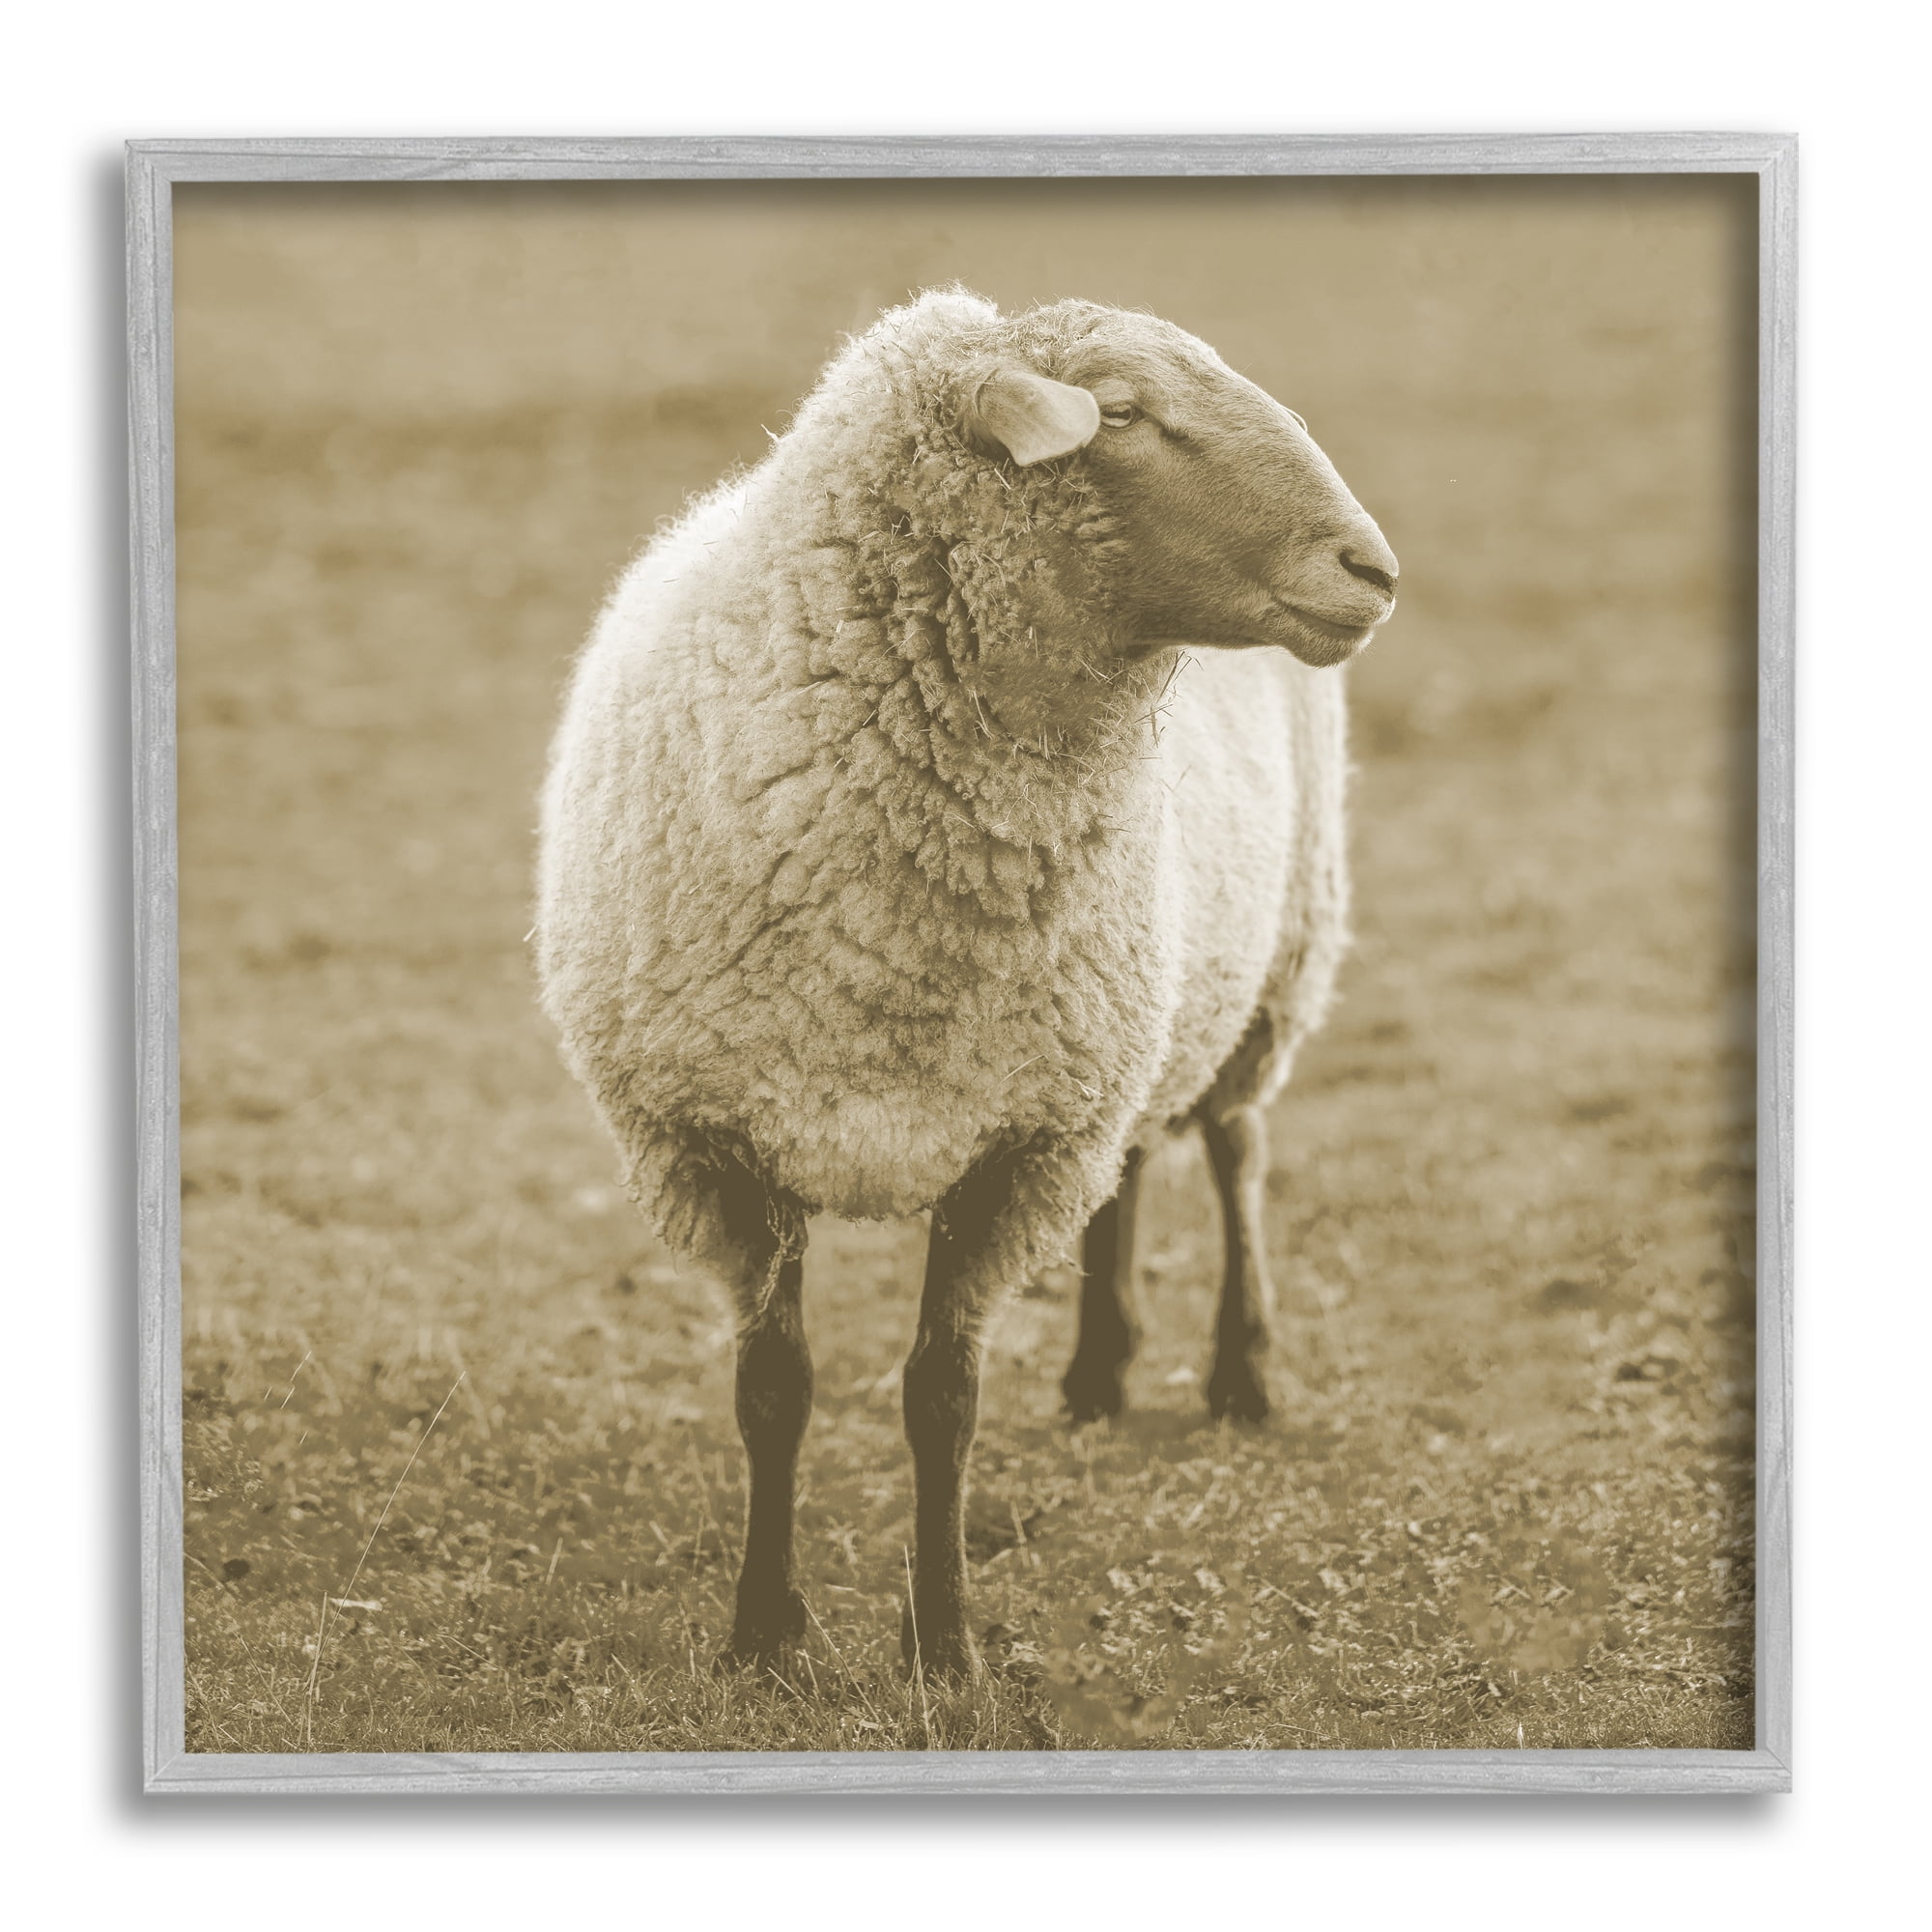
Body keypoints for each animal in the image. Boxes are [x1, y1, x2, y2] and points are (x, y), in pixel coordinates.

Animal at [536, 289, 1398, 1680]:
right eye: (1125, 413)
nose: (1370, 570)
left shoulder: (1015, 1148)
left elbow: (942, 1398)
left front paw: (942, 1644)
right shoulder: (723, 1141)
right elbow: (772, 1392)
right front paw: (763, 1635)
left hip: (1274, 959)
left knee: (1233, 1147)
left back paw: (1241, 1370)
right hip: (1126, 1019)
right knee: (1137, 1160)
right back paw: (1100, 1369)